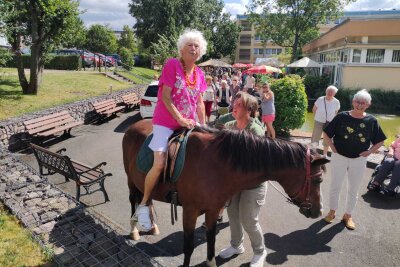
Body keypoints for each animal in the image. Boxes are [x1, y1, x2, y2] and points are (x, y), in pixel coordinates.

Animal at [122, 120, 328, 267]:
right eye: (318, 180)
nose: (318, 211)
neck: (215, 164)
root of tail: (133, 127)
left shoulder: (213, 210)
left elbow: (211, 241)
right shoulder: (190, 211)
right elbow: (188, 246)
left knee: (147, 199)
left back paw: (152, 225)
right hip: (131, 181)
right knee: (133, 200)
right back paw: (134, 230)